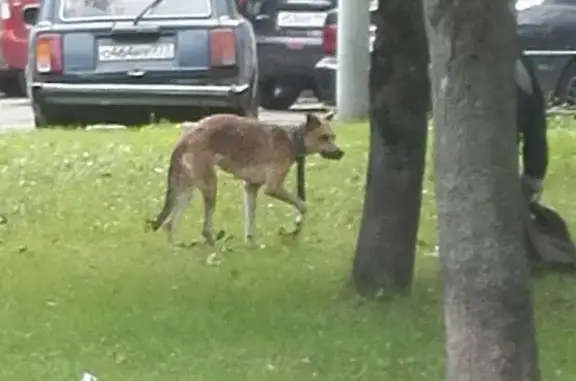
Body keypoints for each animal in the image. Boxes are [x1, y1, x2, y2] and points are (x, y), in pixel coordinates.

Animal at [150, 111, 346, 245]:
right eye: (324, 137)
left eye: (333, 136)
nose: (341, 153)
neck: (293, 139)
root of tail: (185, 137)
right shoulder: (273, 187)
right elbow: (303, 205)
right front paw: (296, 226)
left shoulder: (251, 187)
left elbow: (250, 219)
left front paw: (251, 242)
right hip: (210, 185)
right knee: (204, 229)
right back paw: (213, 245)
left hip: (187, 189)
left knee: (169, 223)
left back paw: (176, 247)